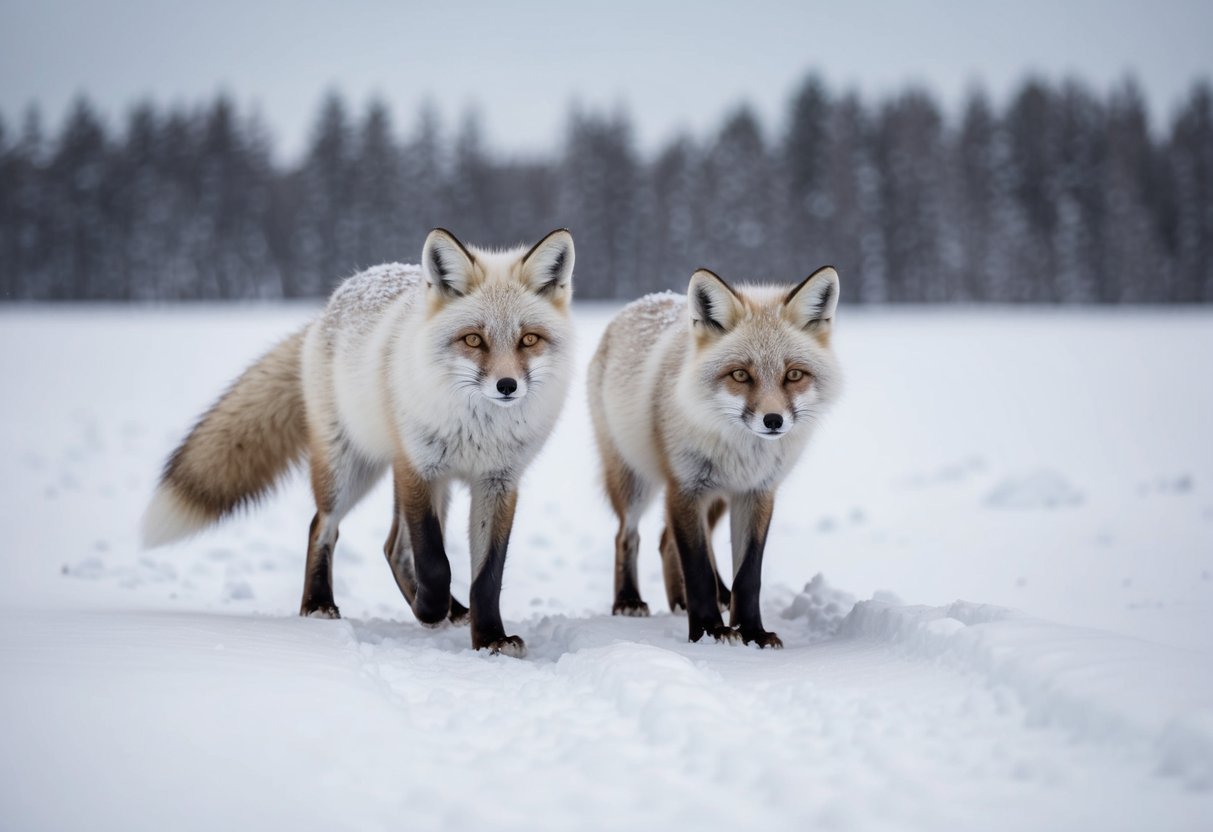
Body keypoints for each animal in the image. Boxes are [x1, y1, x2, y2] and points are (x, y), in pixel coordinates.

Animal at [142, 227, 577, 657]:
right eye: (473, 340)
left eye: (529, 340)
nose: (507, 386)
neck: (479, 429)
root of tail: (327, 308)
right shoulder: (416, 467)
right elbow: (435, 561)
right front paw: (431, 609)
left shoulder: (498, 482)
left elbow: (487, 575)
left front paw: (489, 639)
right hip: (350, 471)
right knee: (324, 527)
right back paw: (320, 604)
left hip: (425, 483)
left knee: (392, 546)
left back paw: (450, 609)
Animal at [587, 265, 842, 647]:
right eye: (740, 374)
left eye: (794, 374)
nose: (773, 421)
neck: (741, 449)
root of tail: (639, 303)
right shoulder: (685, 487)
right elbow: (698, 569)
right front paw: (709, 630)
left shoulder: (756, 492)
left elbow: (748, 575)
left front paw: (751, 632)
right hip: (636, 481)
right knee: (628, 535)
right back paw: (628, 600)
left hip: (716, 499)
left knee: (666, 541)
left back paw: (684, 602)